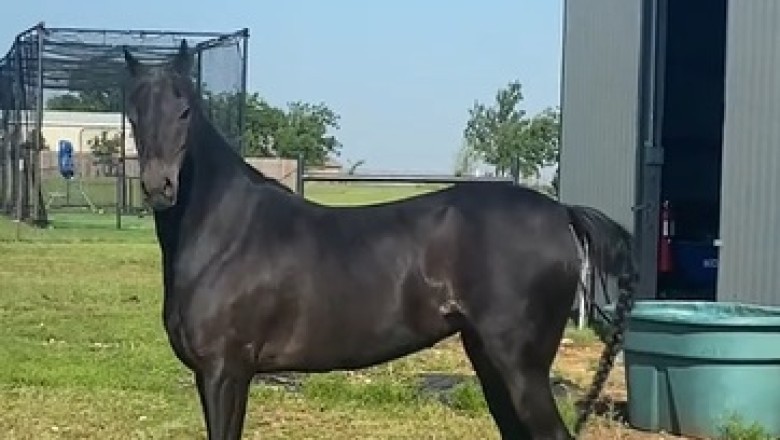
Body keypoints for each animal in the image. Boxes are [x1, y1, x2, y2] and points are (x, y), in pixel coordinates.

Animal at [121, 40, 636, 440]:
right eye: (134, 113)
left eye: (185, 110)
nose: (159, 186)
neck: (226, 232)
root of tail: (562, 211)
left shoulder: (226, 372)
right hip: (492, 363)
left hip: (521, 370)